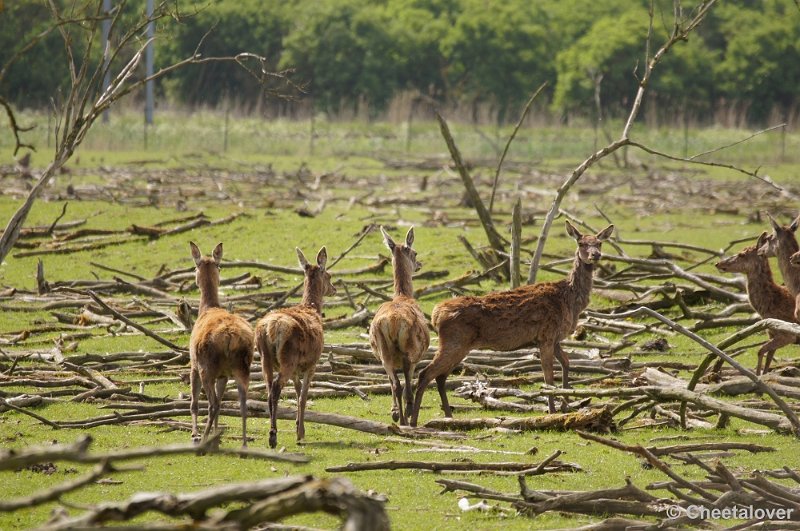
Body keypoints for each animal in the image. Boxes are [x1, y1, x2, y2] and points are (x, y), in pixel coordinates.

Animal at [188, 244, 253, 448]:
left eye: (195, 266)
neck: (207, 308)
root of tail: (230, 336)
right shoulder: (223, 375)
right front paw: (217, 434)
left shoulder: (193, 364)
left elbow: (194, 403)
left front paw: (195, 434)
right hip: (242, 366)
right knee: (242, 403)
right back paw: (243, 444)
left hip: (206, 367)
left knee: (212, 404)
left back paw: (203, 441)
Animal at [258, 248, 336, 448]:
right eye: (329, 275)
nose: (334, 288)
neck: (312, 309)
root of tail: (269, 329)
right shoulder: (312, 363)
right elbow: (303, 396)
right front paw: (300, 433)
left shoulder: (296, 370)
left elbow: (297, 390)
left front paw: (298, 426)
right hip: (288, 358)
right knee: (276, 388)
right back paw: (273, 435)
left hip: (265, 358)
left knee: (268, 390)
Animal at [370, 227, 432, 426]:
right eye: (415, 252)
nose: (419, 263)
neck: (403, 295)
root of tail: (393, 321)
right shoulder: (416, 357)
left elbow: (392, 383)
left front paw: (394, 412)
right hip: (410, 349)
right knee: (404, 384)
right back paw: (408, 416)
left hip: (383, 352)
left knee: (395, 383)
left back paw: (399, 416)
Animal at [410, 218, 616, 426]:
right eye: (581, 243)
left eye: (599, 243)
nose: (595, 255)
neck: (570, 301)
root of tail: (435, 314)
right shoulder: (547, 336)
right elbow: (548, 377)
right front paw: (552, 411)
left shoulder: (554, 338)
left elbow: (566, 363)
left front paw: (567, 405)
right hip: (455, 341)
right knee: (426, 373)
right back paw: (413, 420)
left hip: (458, 345)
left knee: (441, 376)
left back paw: (448, 416)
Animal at [716, 235, 796, 376]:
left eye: (742, 254)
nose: (718, 263)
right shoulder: (771, 332)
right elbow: (768, 357)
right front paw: (762, 375)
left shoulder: (789, 334)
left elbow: (760, 350)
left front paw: (757, 375)